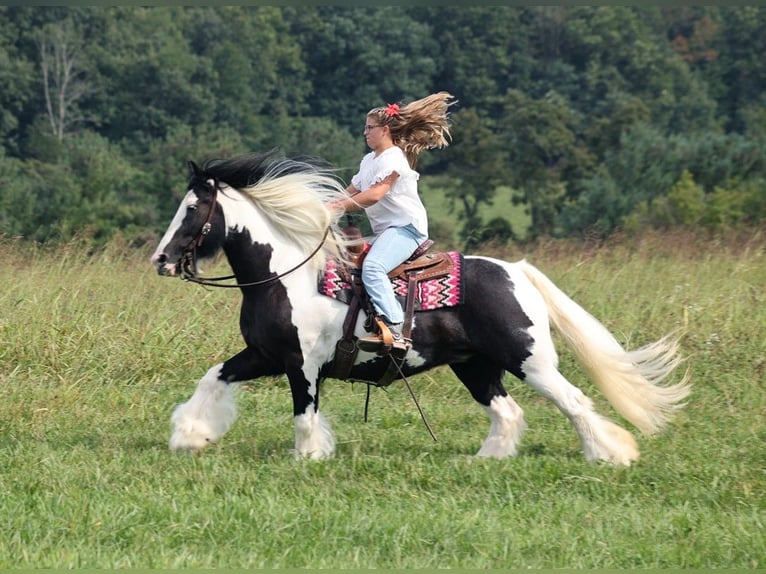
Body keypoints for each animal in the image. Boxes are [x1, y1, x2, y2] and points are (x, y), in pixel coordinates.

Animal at [153, 151, 692, 466]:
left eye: (192, 210)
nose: (161, 260)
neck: (285, 273)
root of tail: (517, 271)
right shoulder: (264, 356)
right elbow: (212, 379)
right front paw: (190, 436)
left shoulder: (300, 364)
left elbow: (304, 413)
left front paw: (309, 458)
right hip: (476, 367)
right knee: (508, 412)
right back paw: (485, 461)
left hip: (530, 361)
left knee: (575, 402)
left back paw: (611, 455)